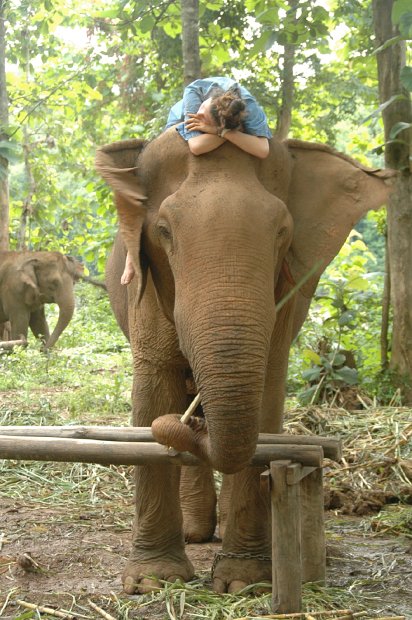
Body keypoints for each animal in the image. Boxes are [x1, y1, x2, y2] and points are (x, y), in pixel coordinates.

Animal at [95, 131, 394, 596]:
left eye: (282, 231)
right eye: (163, 231)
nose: (191, 427)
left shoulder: (286, 294)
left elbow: (266, 398)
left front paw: (244, 583)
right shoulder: (143, 286)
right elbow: (152, 395)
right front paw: (152, 581)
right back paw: (196, 531)